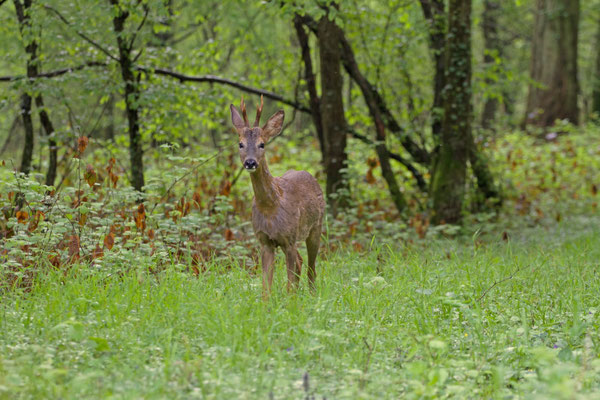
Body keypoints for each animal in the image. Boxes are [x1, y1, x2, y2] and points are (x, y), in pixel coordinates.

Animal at [230, 96, 326, 296]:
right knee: (300, 262)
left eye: (262, 144)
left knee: (311, 267)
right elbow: (266, 287)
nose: (250, 162)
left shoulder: (289, 238)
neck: (270, 207)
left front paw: (291, 302)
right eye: (240, 143)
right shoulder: (265, 241)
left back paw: (313, 295)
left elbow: (288, 284)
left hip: (316, 227)